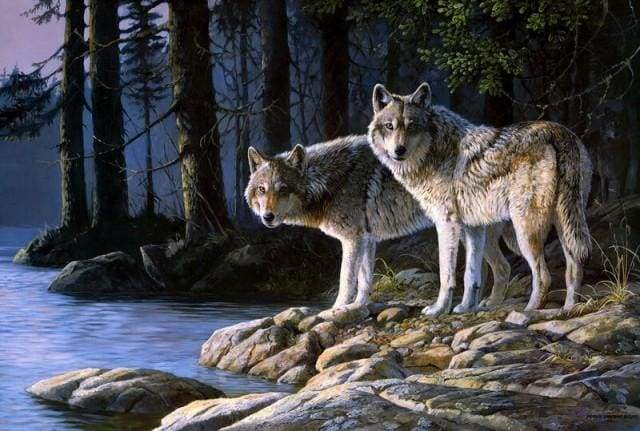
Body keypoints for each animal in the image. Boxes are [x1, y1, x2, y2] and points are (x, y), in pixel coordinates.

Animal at [245, 135, 514, 310]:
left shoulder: (352, 240)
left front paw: (334, 311)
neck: (328, 181)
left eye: (283, 190)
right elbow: (365, 280)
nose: (267, 217)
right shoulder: (366, 239)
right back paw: (478, 307)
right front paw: (357, 307)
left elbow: (346, 280)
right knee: (492, 270)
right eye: (262, 189)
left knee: (501, 268)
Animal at [368, 83, 592, 316]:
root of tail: (559, 132)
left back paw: (528, 310)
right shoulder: (472, 228)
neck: (435, 150)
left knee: (543, 275)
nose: (399, 150)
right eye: (389, 126)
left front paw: (439, 309)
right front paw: (466, 307)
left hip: (525, 232)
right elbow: (472, 274)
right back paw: (568, 309)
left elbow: (446, 274)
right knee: (571, 268)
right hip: (561, 226)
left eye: (412, 126)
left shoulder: (446, 224)